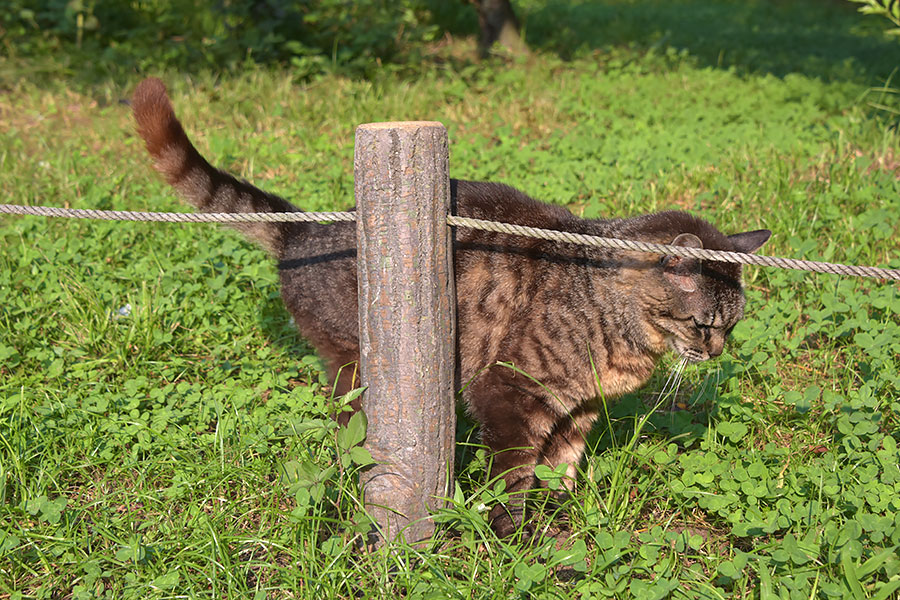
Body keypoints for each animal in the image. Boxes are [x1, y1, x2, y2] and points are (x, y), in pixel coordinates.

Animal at [130, 78, 768, 536]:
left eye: (731, 327)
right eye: (703, 324)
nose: (716, 352)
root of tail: (304, 230)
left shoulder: (577, 412)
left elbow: (560, 472)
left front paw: (561, 524)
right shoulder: (508, 395)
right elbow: (512, 481)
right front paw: (513, 539)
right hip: (354, 368)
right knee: (347, 440)